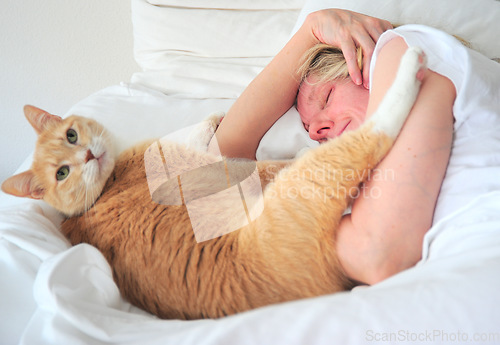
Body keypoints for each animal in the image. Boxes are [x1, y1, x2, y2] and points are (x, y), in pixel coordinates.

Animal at [2, 47, 426, 318]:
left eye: (71, 136)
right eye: (62, 173)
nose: (86, 157)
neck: (107, 185)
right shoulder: (206, 162)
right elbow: (233, 150)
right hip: (303, 191)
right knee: (374, 130)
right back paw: (412, 65)